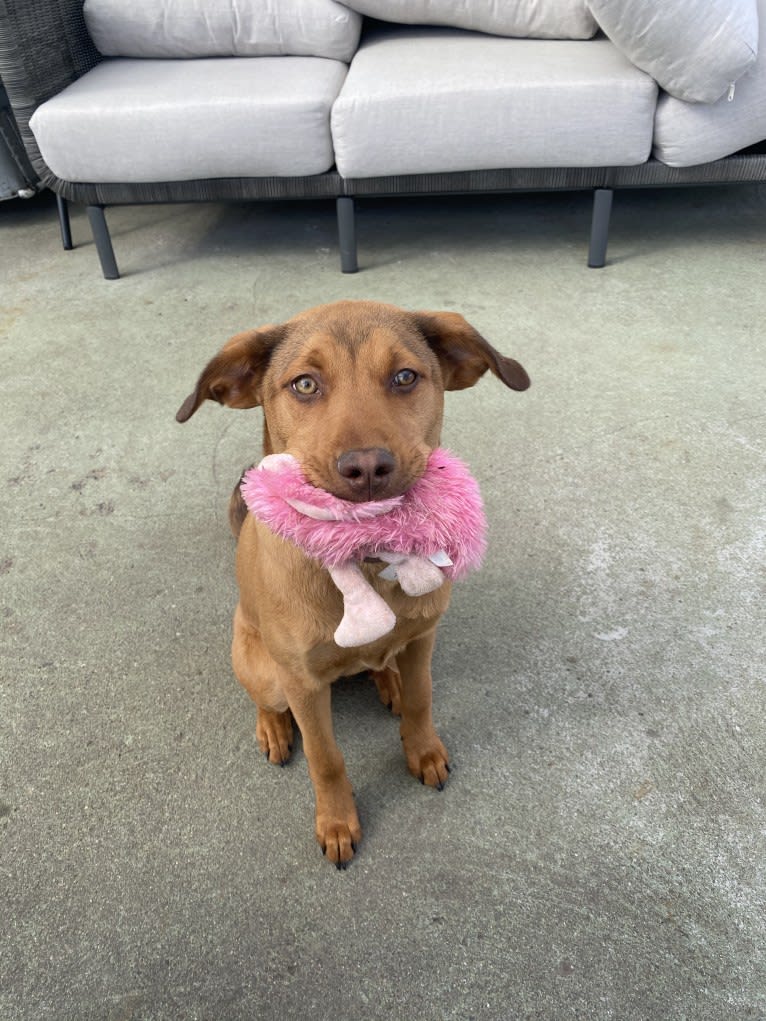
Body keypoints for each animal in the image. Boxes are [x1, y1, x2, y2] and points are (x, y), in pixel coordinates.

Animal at [176, 298, 531, 865]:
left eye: (405, 376)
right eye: (304, 384)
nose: (366, 468)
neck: (365, 555)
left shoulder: (424, 637)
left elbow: (422, 700)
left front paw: (423, 749)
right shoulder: (302, 683)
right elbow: (326, 757)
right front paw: (338, 821)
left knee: (384, 664)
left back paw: (386, 678)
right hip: (264, 669)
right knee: (264, 698)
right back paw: (272, 726)